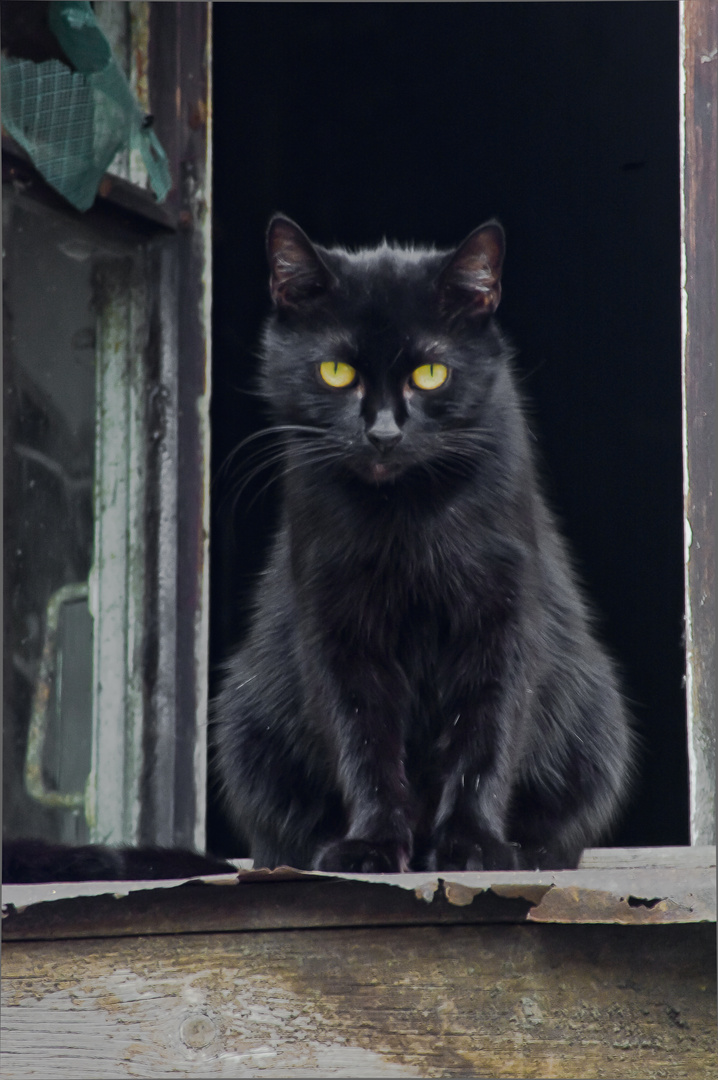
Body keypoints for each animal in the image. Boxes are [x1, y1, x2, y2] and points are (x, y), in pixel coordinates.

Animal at [213, 214, 634, 872]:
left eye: (430, 374)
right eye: (336, 372)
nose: (384, 432)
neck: (404, 520)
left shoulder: (504, 617)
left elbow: (486, 734)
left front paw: (472, 846)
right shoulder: (336, 627)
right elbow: (362, 739)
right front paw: (371, 845)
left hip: (596, 719)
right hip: (244, 719)